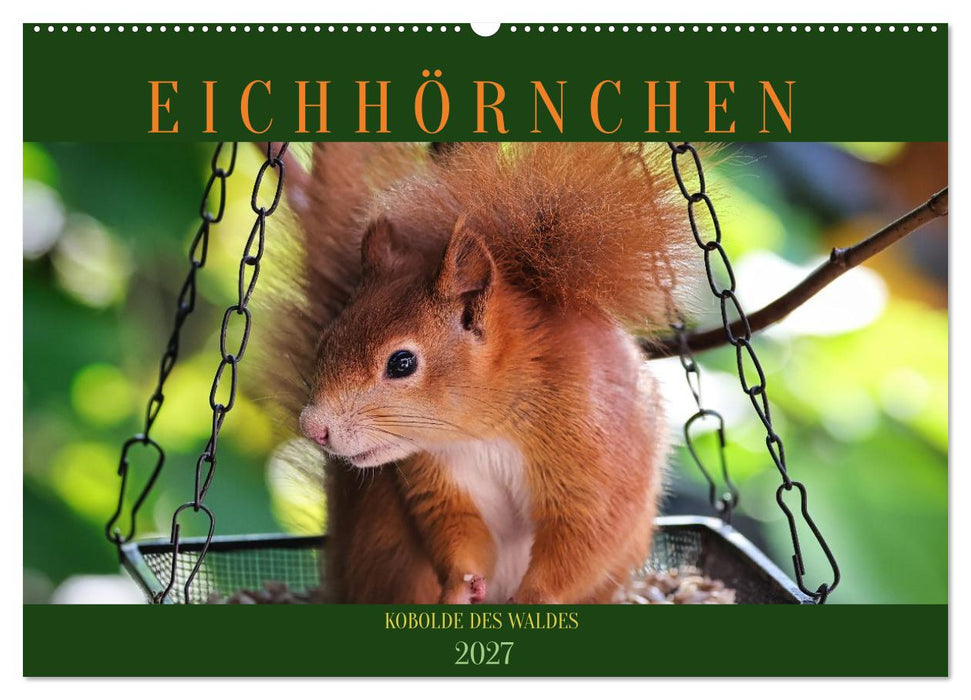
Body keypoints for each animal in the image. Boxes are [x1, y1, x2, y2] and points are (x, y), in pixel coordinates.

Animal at [264, 142, 695, 604]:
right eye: (325, 341)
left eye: (402, 363)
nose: (313, 428)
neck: (484, 430)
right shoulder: (441, 484)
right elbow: (462, 538)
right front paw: (461, 585)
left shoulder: (596, 463)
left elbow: (583, 543)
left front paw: (534, 597)